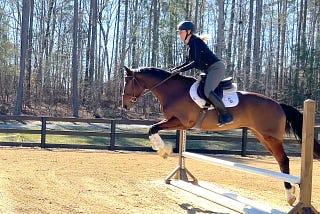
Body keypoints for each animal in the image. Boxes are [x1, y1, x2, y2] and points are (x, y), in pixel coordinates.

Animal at [121, 66, 318, 205]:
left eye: (128, 83)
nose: (124, 105)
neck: (173, 90)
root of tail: (278, 104)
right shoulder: (175, 122)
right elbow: (153, 128)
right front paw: (162, 150)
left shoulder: (182, 122)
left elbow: (153, 128)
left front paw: (163, 150)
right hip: (262, 136)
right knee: (280, 160)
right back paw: (291, 192)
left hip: (271, 138)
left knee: (284, 160)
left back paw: (290, 196)